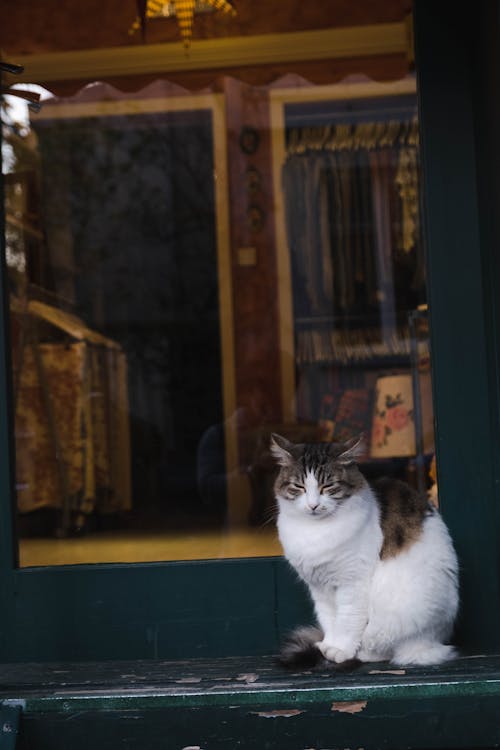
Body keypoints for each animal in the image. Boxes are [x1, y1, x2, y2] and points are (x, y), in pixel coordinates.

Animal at [272, 434, 458, 668]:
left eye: (328, 486)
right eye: (299, 486)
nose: (313, 505)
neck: (314, 530)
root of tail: (433, 642)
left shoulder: (353, 583)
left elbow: (347, 620)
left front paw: (340, 650)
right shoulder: (320, 587)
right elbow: (329, 619)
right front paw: (329, 645)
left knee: (390, 649)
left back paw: (362, 654)